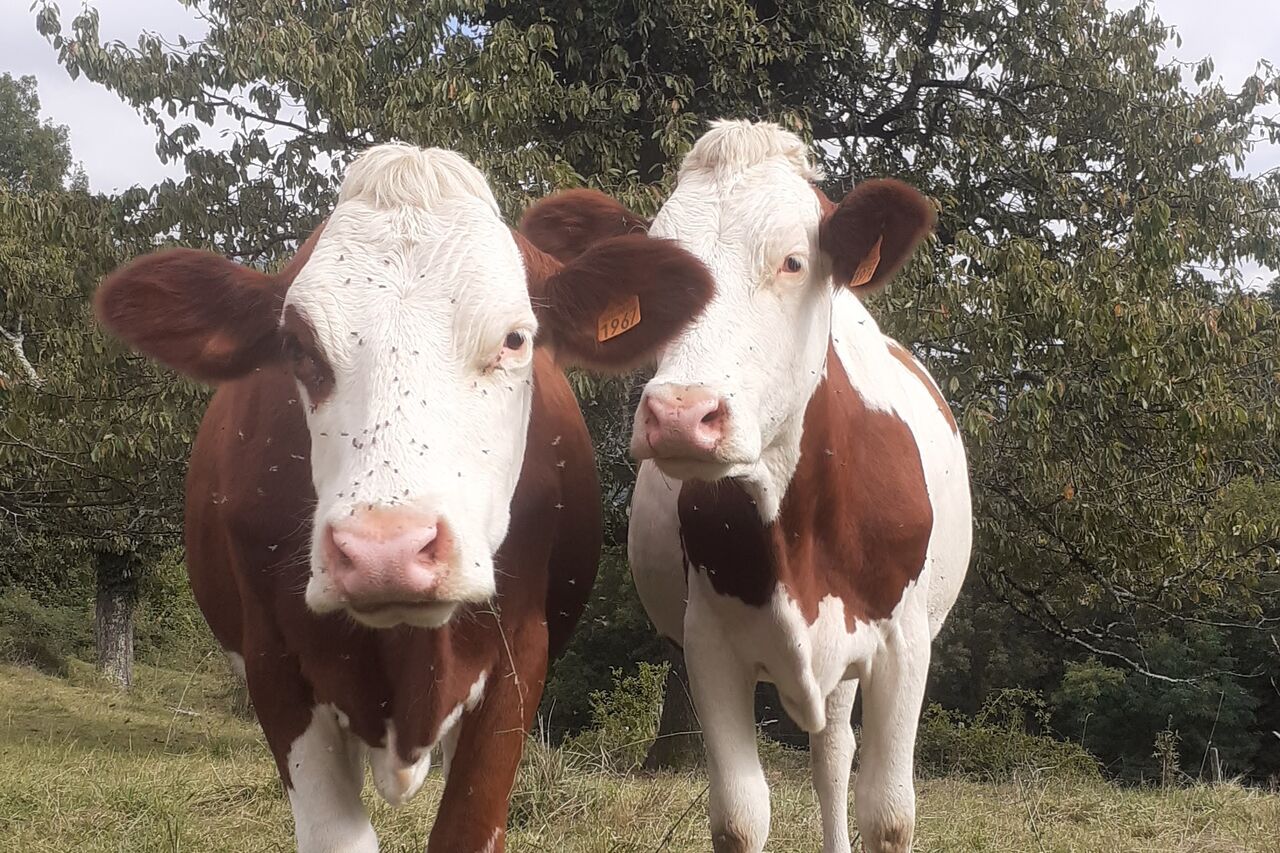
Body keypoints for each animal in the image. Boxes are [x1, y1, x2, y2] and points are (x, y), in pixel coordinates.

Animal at [526, 120, 972, 853]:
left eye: (793, 261)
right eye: (657, 280)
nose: (682, 413)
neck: (796, 524)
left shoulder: (904, 646)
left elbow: (888, 814)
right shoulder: (710, 647)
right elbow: (739, 815)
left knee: (833, 756)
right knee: (829, 751)